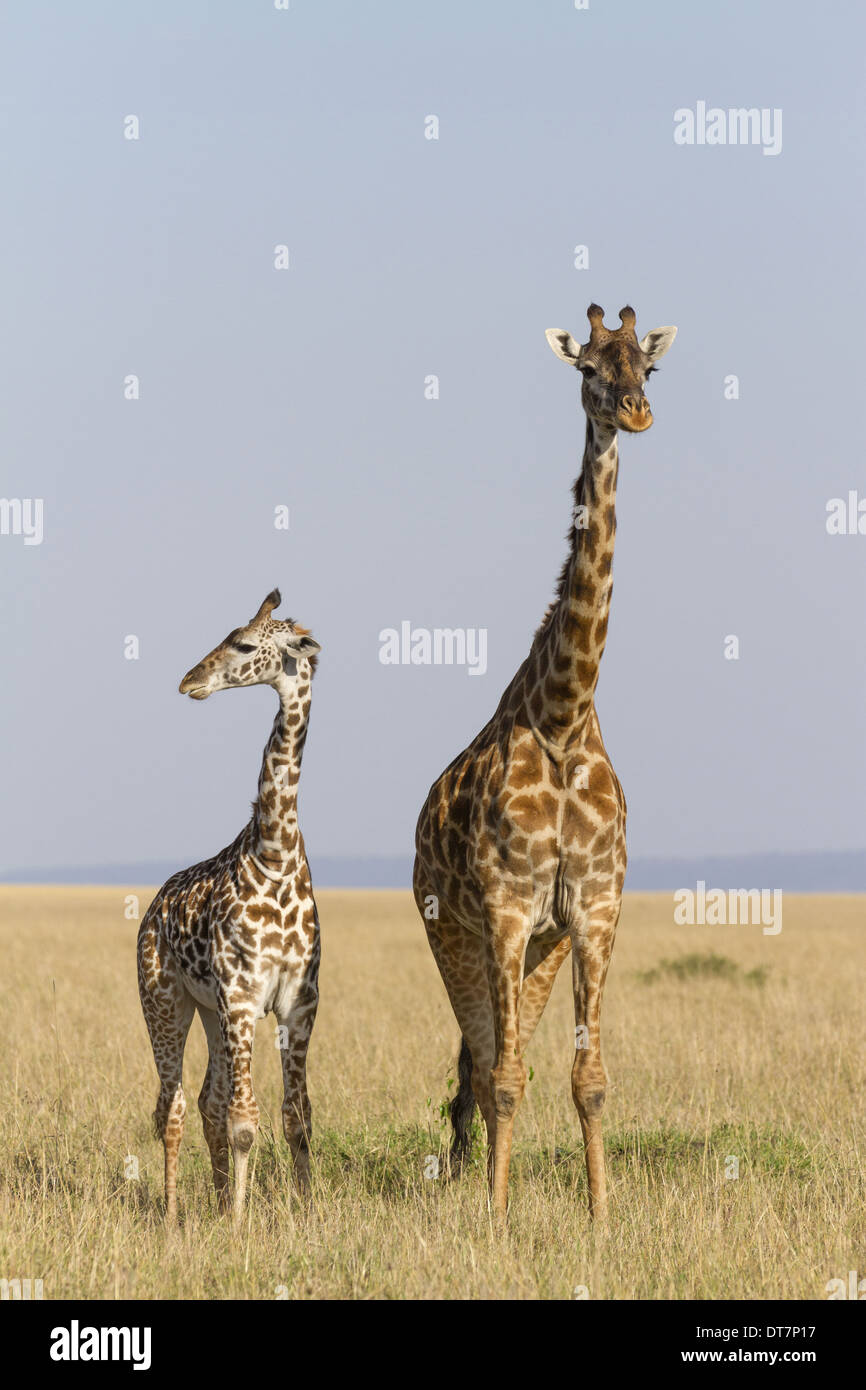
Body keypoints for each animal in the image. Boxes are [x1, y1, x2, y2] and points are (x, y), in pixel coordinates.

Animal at [137, 588, 321, 1227]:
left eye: (243, 645)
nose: (190, 680)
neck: (275, 853)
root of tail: (152, 908)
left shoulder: (298, 1003)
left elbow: (296, 1118)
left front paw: (302, 1211)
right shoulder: (242, 997)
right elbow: (246, 1122)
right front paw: (240, 1225)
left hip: (209, 1010)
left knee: (206, 1101)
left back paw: (215, 1202)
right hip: (165, 1002)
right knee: (171, 1106)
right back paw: (172, 1215)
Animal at [413, 304, 677, 1222]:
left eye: (647, 367)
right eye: (589, 369)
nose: (636, 412)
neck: (563, 718)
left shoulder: (592, 910)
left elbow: (587, 1078)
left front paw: (599, 1216)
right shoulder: (502, 910)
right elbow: (504, 1078)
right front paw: (495, 1220)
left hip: (543, 946)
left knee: (495, 1051)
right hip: (453, 932)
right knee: (480, 1057)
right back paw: (470, 1175)